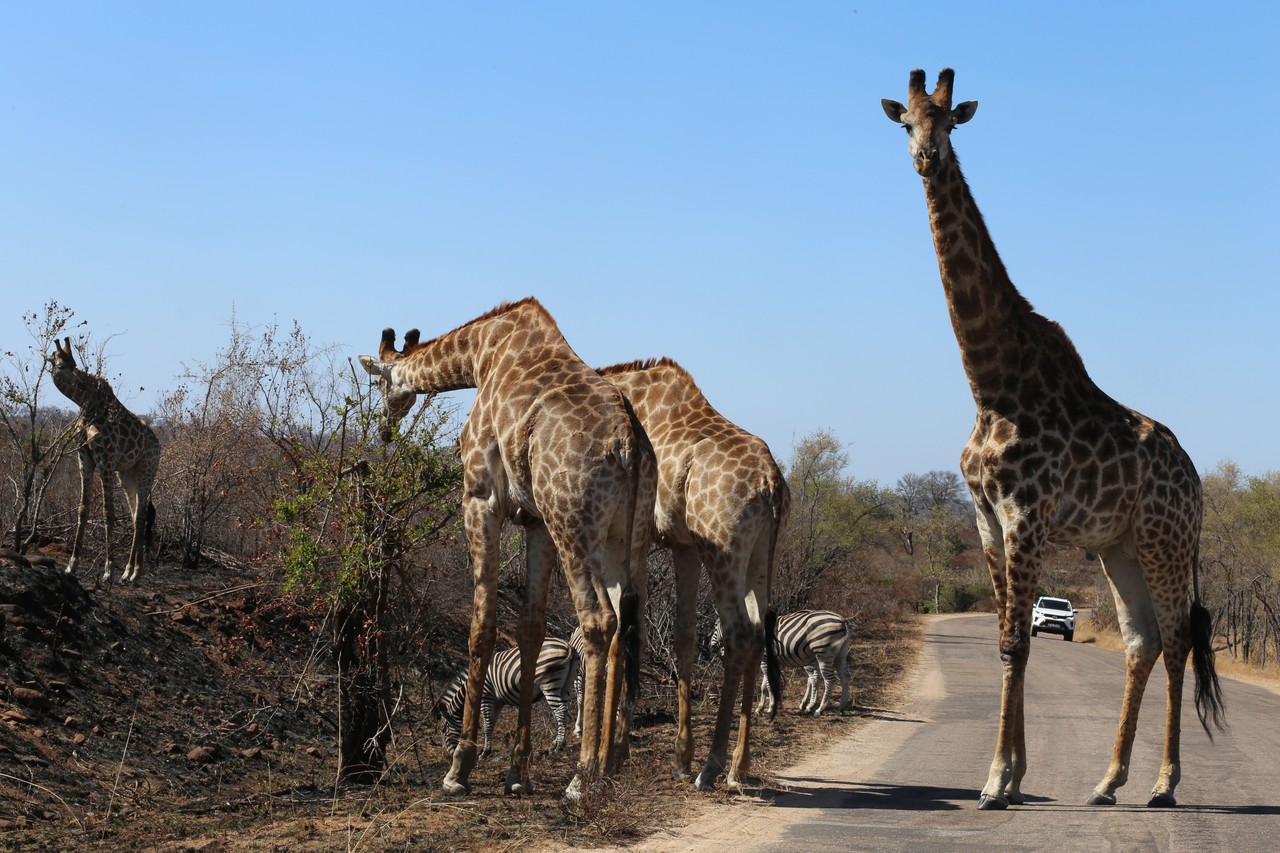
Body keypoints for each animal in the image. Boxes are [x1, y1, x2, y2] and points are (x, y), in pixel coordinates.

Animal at [45, 337, 161, 584]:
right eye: (60, 365)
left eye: (73, 363)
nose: (79, 382)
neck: (86, 405)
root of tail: (159, 444)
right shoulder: (85, 460)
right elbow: (82, 509)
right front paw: (71, 566)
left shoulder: (105, 461)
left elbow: (109, 511)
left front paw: (108, 570)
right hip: (126, 473)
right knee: (136, 515)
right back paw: (129, 571)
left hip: (147, 469)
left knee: (142, 515)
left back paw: (134, 572)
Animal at [438, 636, 579, 756]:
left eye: (443, 730)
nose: (447, 756)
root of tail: (567, 646)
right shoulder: (497, 703)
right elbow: (491, 723)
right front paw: (487, 749)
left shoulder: (486, 697)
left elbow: (486, 725)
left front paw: (484, 752)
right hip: (566, 685)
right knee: (562, 710)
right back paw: (558, 743)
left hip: (549, 683)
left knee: (560, 710)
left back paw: (558, 747)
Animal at [598, 358, 788, 791]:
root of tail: (771, 484)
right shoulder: (682, 545)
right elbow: (682, 639)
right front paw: (679, 758)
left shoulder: (639, 537)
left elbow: (635, 630)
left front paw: (619, 751)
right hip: (757, 557)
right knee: (757, 631)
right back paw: (738, 767)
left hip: (723, 552)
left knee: (738, 634)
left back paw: (713, 767)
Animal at [712, 610, 852, 716]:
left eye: (714, 626)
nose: (711, 647)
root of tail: (842, 620)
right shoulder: (766, 661)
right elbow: (764, 685)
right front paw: (761, 707)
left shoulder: (765, 658)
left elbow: (768, 684)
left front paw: (770, 707)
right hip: (839, 655)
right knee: (843, 678)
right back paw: (840, 707)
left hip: (823, 653)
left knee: (829, 680)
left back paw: (819, 709)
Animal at [882, 68, 1223, 809]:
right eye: (906, 123)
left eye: (949, 121)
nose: (925, 157)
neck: (990, 384)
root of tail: (1197, 481)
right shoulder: (986, 517)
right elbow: (1008, 641)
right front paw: (1012, 776)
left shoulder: (1026, 514)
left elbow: (1018, 643)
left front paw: (995, 781)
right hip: (1117, 545)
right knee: (1142, 640)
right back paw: (1106, 780)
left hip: (1164, 539)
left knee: (1179, 639)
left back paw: (1164, 784)